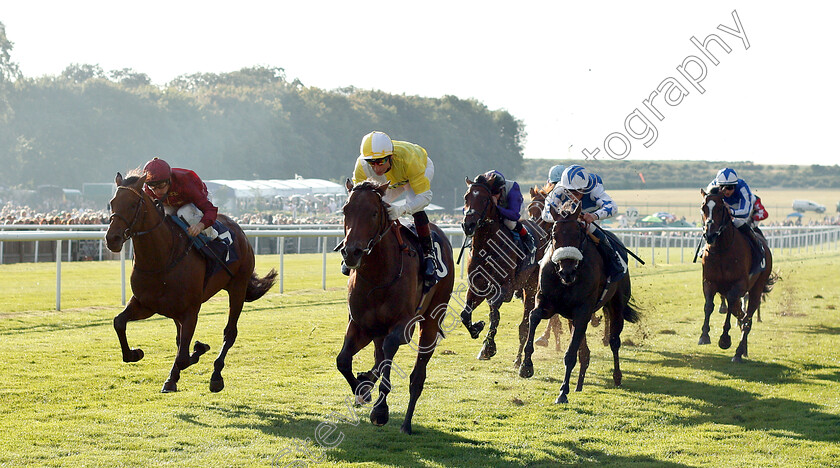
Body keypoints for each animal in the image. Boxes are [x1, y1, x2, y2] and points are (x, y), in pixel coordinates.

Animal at [104, 172, 276, 392]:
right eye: (112, 203)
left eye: (133, 204)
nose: (112, 239)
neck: (162, 258)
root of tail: (237, 227)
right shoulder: (146, 304)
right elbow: (119, 322)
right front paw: (135, 353)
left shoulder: (190, 311)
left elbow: (184, 357)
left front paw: (199, 349)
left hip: (238, 287)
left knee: (229, 333)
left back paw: (216, 376)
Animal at [336, 180, 456, 436]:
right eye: (345, 210)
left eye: (373, 212)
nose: (351, 252)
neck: (378, 275)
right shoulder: (360, 325)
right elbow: (343, 360)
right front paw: (362, 389)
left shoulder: (403, 326)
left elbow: (389, 354)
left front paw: (380, 411)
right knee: (378, 356)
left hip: (432, 320)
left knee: (417, 377)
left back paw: (406, 424)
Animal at [460, 173, 552, 366]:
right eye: (466, 197)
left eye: (485, 199)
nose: (468, 225)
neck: (486, 248)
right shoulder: (476, 287)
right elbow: (465, 314)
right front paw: (477, 328)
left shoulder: (505, 287)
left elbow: (494, 312)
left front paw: (488, 348)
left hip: (530, 287)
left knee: (525, 324)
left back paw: (519, 360)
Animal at [516, 201, 640, 402]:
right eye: (554, 235)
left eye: (579, 234)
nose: (567, 272)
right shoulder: (546, 303)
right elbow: (533, 317)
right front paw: (526, 366)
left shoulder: (582, 311)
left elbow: (571, 353)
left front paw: (563, 391)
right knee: (585, 350)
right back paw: (580, 383)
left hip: (616, 305)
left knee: (614, 341)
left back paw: (617, 376)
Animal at [700, 187, 776, 362]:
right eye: (703, 208)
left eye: (720, 209)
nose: (709, 235)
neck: (722, 249)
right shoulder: (709, 282)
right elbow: (709, 306)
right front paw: (704, 335)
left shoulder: (738, 286)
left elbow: (730, 307)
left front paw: (724, 339)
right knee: (741, 315)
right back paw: (743, 349)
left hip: (756, 288)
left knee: (747, 318)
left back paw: (738, 352)